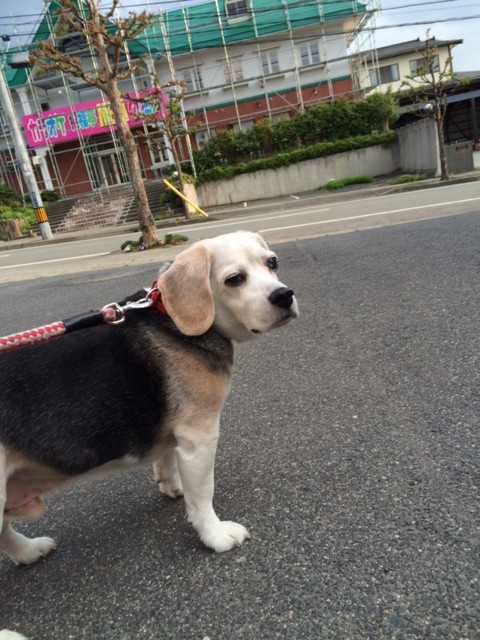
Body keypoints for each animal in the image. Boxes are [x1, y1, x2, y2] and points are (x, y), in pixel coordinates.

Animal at [0, 231, 298, 566]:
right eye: (234, 279)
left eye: (272, 262)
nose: (284, 296)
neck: (171, 316)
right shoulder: (200, 436)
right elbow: (202, 495)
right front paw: (214, 535)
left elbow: (166, 458)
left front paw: (171, 484)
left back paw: (28, 550)